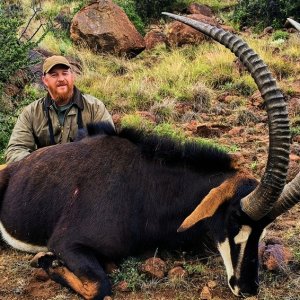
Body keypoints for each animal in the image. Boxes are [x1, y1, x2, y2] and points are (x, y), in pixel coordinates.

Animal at [0, 12, 298, 298]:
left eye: (263, 229)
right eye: (234, 219)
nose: (248, 287)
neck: (147, 189)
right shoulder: (66, 243)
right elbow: (99, 286)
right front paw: (45, 261)